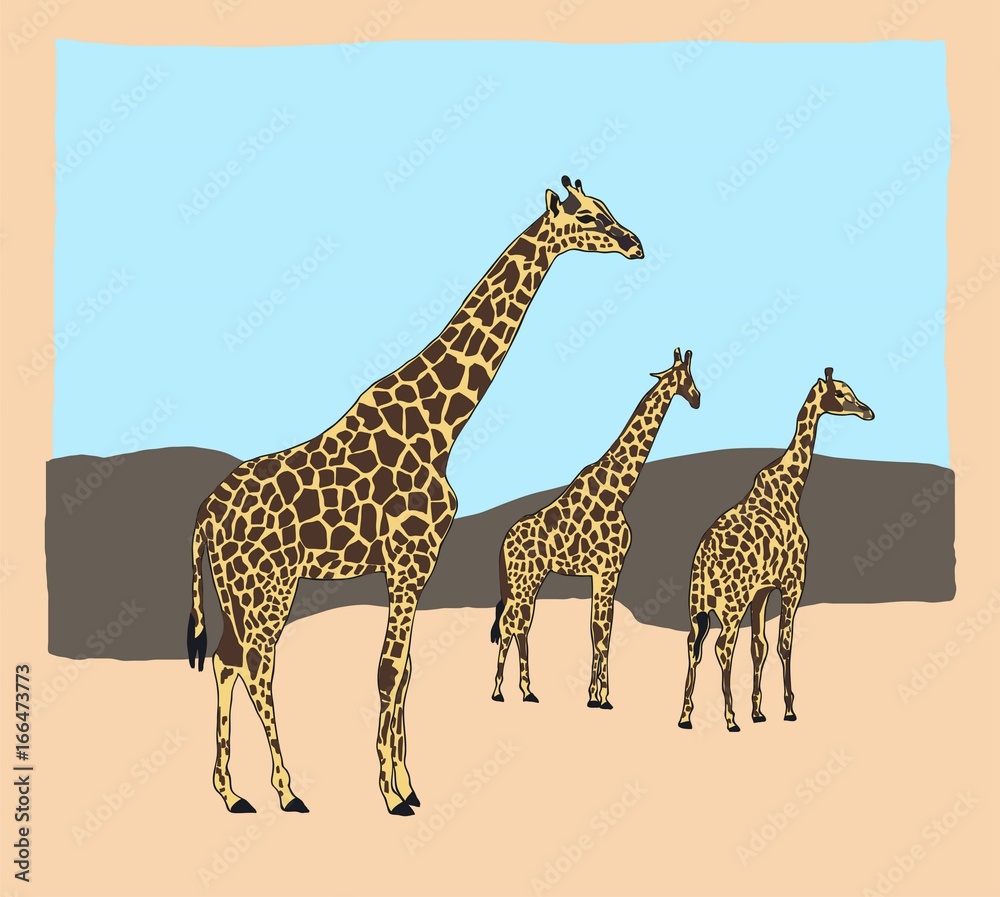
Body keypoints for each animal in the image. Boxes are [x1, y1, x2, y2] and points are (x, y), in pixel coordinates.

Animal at [186, 176, 644, 815]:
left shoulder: (417, 566)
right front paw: (391, 795)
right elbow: (387, 671)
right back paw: (287, 791)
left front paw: (407, 785)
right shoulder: (408, 559)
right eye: (588, 216)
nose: (635, 244)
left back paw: (231, 792)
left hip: (236, 589)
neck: (441, 428)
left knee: (227, 662)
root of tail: (205, 513)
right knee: (258, 667)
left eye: (607, 209)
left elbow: (401, 672)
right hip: (268, 586)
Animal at [490, 348, 701, 708]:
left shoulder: (604, 572)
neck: (619, 492)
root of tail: (504, 542)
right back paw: (501, 691)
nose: (698, 399)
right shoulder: (609, 569)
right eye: (688, 377)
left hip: (529, 580)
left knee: (520, 626)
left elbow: (599, 630)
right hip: (523, 580)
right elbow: (602, 632)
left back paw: (526, 691)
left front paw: (596, 694)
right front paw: (600, 697)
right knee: (511, 624)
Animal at [677, 367, 874, 732]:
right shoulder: (794, 582)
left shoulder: (762, 590)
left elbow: (760, 646)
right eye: (842, 394)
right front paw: (788, 709)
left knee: (693, 646)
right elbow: (784, 644)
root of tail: (704, 564)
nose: (868, 411)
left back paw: (685, 715)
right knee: (722, 647)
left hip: (697, 607)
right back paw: (729, 718)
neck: (792, 493)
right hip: (730, 605)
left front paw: (758, 711)